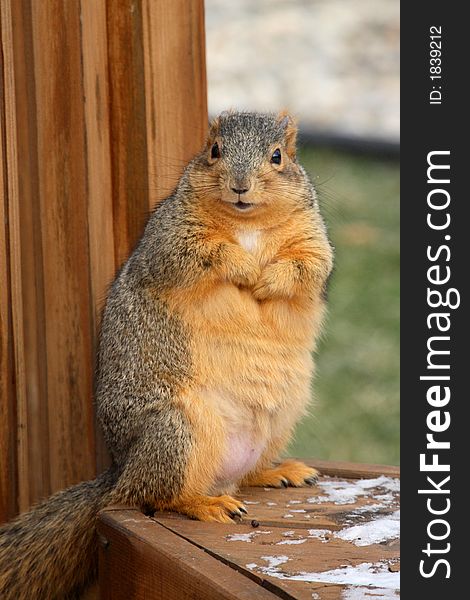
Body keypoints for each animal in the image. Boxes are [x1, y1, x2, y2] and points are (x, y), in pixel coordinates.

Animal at [0, 110, 334, 596]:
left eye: (278, 157)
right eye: (213, 150)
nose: (240, 185)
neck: (247, 224)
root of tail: (122, 472)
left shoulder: (312, 239)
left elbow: (309, 267)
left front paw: (268, 279)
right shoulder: (169, 238)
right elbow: (199, 255)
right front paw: (243, 268)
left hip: (278, 419)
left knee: (240, 475)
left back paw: (275, 472)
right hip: (176, 430)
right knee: (161, 495)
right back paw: (205, 504)